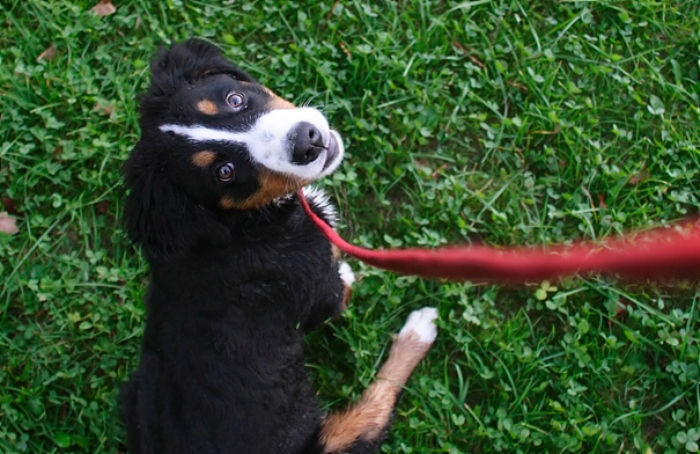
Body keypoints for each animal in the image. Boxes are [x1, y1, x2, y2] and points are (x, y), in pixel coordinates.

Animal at [120, 40, 438, 454]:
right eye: (225, 172)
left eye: (235, 99)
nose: (308, 140)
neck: (243, 225)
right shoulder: (318, 292)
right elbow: (339, 290)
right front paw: (349, 272)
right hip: (325, 440)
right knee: (374, 410)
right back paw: (419, 331)